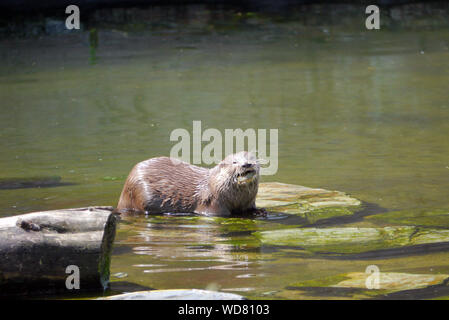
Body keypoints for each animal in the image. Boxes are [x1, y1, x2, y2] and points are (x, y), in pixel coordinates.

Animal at [117, 151, 264, 216]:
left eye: (251, 158)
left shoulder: (249, 201)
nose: (246, 164)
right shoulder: (212, 202)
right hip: (140, 192)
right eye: (234, 162)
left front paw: (260, 211)